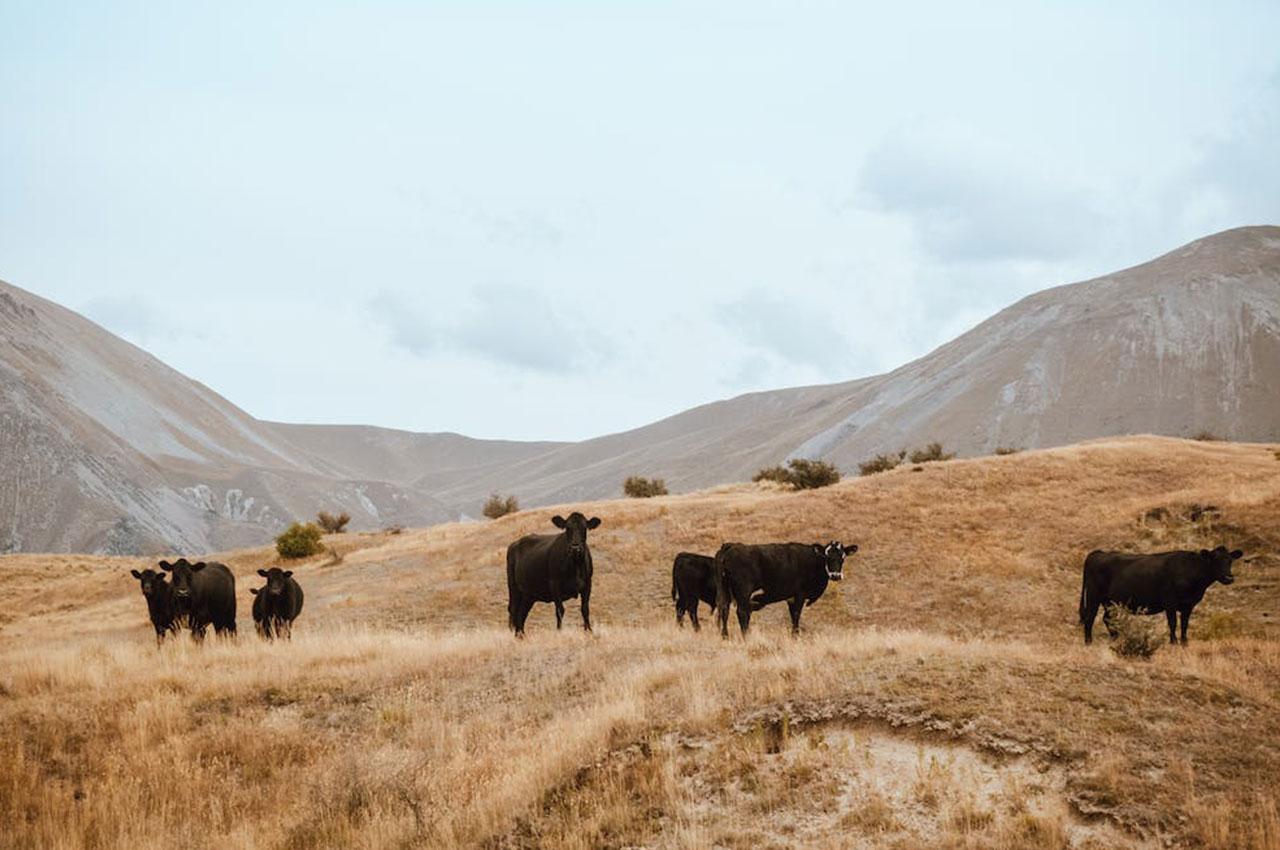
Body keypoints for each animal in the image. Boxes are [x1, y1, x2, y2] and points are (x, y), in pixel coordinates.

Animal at [711, 537, 860, 637]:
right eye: (827, 556)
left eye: (842, 557)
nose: (835, 575)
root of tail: (731, 546)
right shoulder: (799, 595)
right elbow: (796, 615)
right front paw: (796, 635)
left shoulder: (791, 598)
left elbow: (792, 616)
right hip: (743, 592)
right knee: (741, 612)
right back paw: (746, 636)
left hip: (724, 591)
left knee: (724, 609)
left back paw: (725, 636)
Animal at [1080, 545, 1239, 645]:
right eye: (1215, 560)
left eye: (1230, 560)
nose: (1229, 577)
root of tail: (1098, 553)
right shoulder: (1170, 602)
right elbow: (1173, 623)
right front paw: (1173, 642)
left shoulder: (1188, 605)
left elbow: (1185, 624)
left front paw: (1184, 643)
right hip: (1094, 596)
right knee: (1090, 618)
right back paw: (1088, 642)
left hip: (1109, 602)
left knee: (1108, 619)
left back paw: (1116, 639)